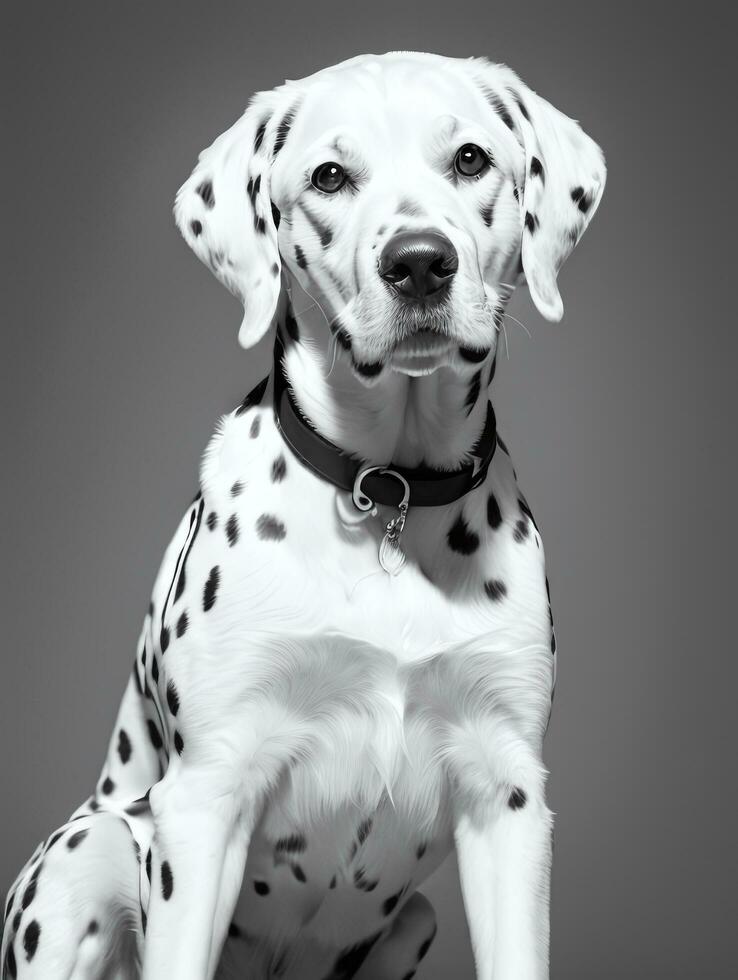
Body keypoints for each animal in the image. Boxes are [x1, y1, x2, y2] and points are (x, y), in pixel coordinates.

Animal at [1, 51, 604, 980]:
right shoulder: (205, 797)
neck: (389, 489)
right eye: (329, 176)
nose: (419, 263)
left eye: (469, 159)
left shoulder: (507, 795)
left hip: (416, 919)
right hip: (84, 853)